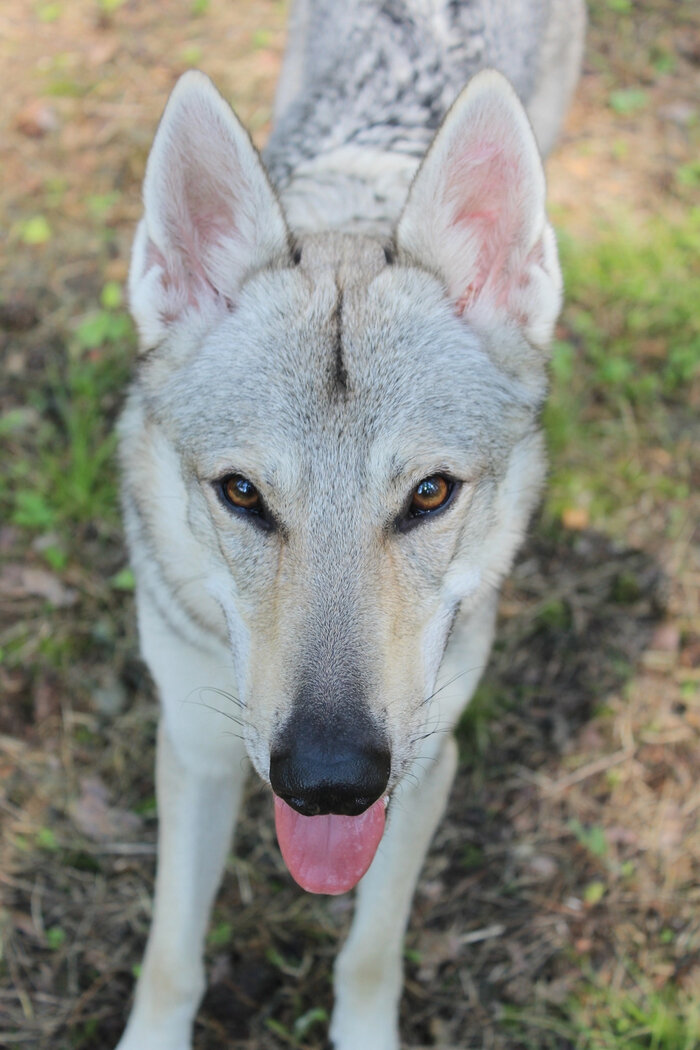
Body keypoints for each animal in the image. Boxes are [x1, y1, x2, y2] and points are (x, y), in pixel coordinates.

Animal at [116, 4, 587, 1045]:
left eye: (430, 495)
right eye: (242, 494)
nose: (329, 779)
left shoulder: (427, 765)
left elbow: (371, 952)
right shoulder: (195, 750)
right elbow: (169, 959)